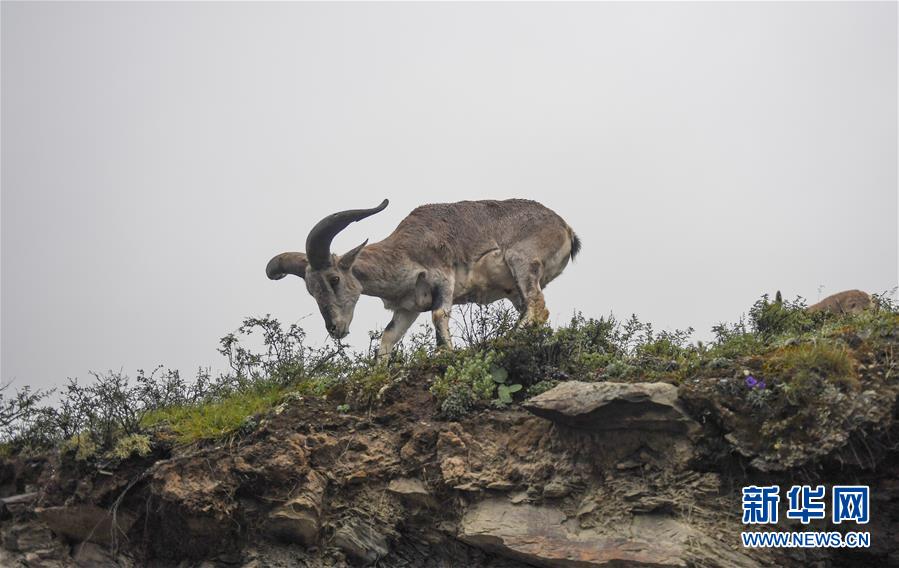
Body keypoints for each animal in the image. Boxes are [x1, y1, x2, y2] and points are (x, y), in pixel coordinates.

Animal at [266, 198, 580, 357]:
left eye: (334, 279)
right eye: (311, 290)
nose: (334, 328)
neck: (406, 249)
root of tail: (565, 228)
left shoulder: (443, 280)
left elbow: (439, 317)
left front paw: (446, 353)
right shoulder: (407, 308)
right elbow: (388, 338)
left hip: (522, 263)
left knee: (538, 307)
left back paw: (502, 340)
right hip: (513, 289)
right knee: (532, 310)